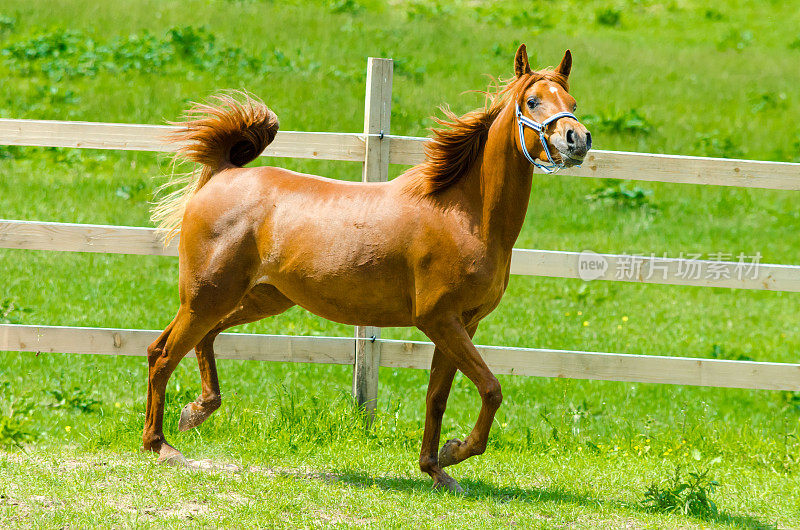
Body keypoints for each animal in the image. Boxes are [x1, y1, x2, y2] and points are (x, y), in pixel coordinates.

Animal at [144, 45, 592, 490]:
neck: (466, 215)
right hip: (207, 297)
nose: (578, 139)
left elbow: (436, 397)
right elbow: (491, 389)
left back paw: (196, 411)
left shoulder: (464, 323)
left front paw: (436, 468)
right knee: (164, 354)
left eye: (572, 102)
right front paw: (454, 451)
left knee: (186, 342)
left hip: (256, 299)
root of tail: (223, 174)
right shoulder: (440, 319)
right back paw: (161, 446)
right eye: (532, 101)